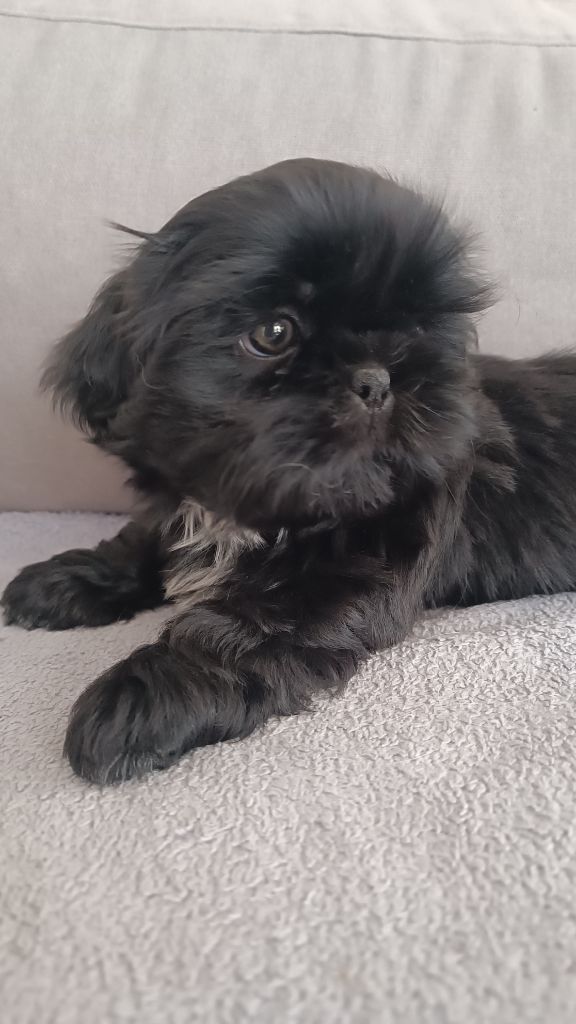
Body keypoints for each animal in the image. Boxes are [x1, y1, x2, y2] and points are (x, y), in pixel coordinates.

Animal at [3, 158, 576, 785]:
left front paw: (139, 698)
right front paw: (71, 578)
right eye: (273, 333)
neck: (254, 512)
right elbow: (144, 541)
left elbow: (239, 631)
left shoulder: (340, 580)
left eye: (421, 329)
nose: (376, 378)